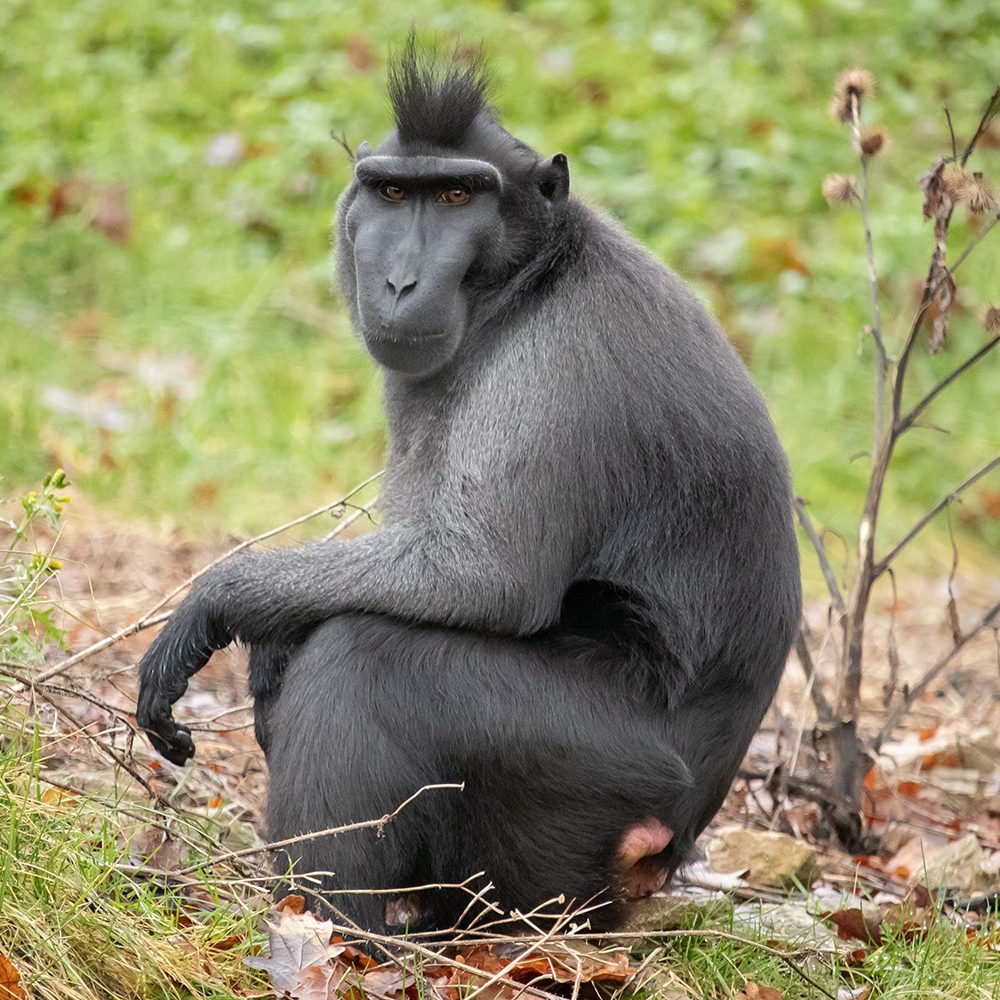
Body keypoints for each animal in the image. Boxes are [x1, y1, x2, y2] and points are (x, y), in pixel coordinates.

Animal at [135, 45, 804, 936]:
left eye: (458, 196)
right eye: (393, 193)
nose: (399, 283)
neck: (531, 279)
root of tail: (671, 844)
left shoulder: (562, 362)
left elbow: (484, 577)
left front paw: (219, 602)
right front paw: (268, 639)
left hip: (593, 775)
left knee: (367, 656)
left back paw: (330, 932)